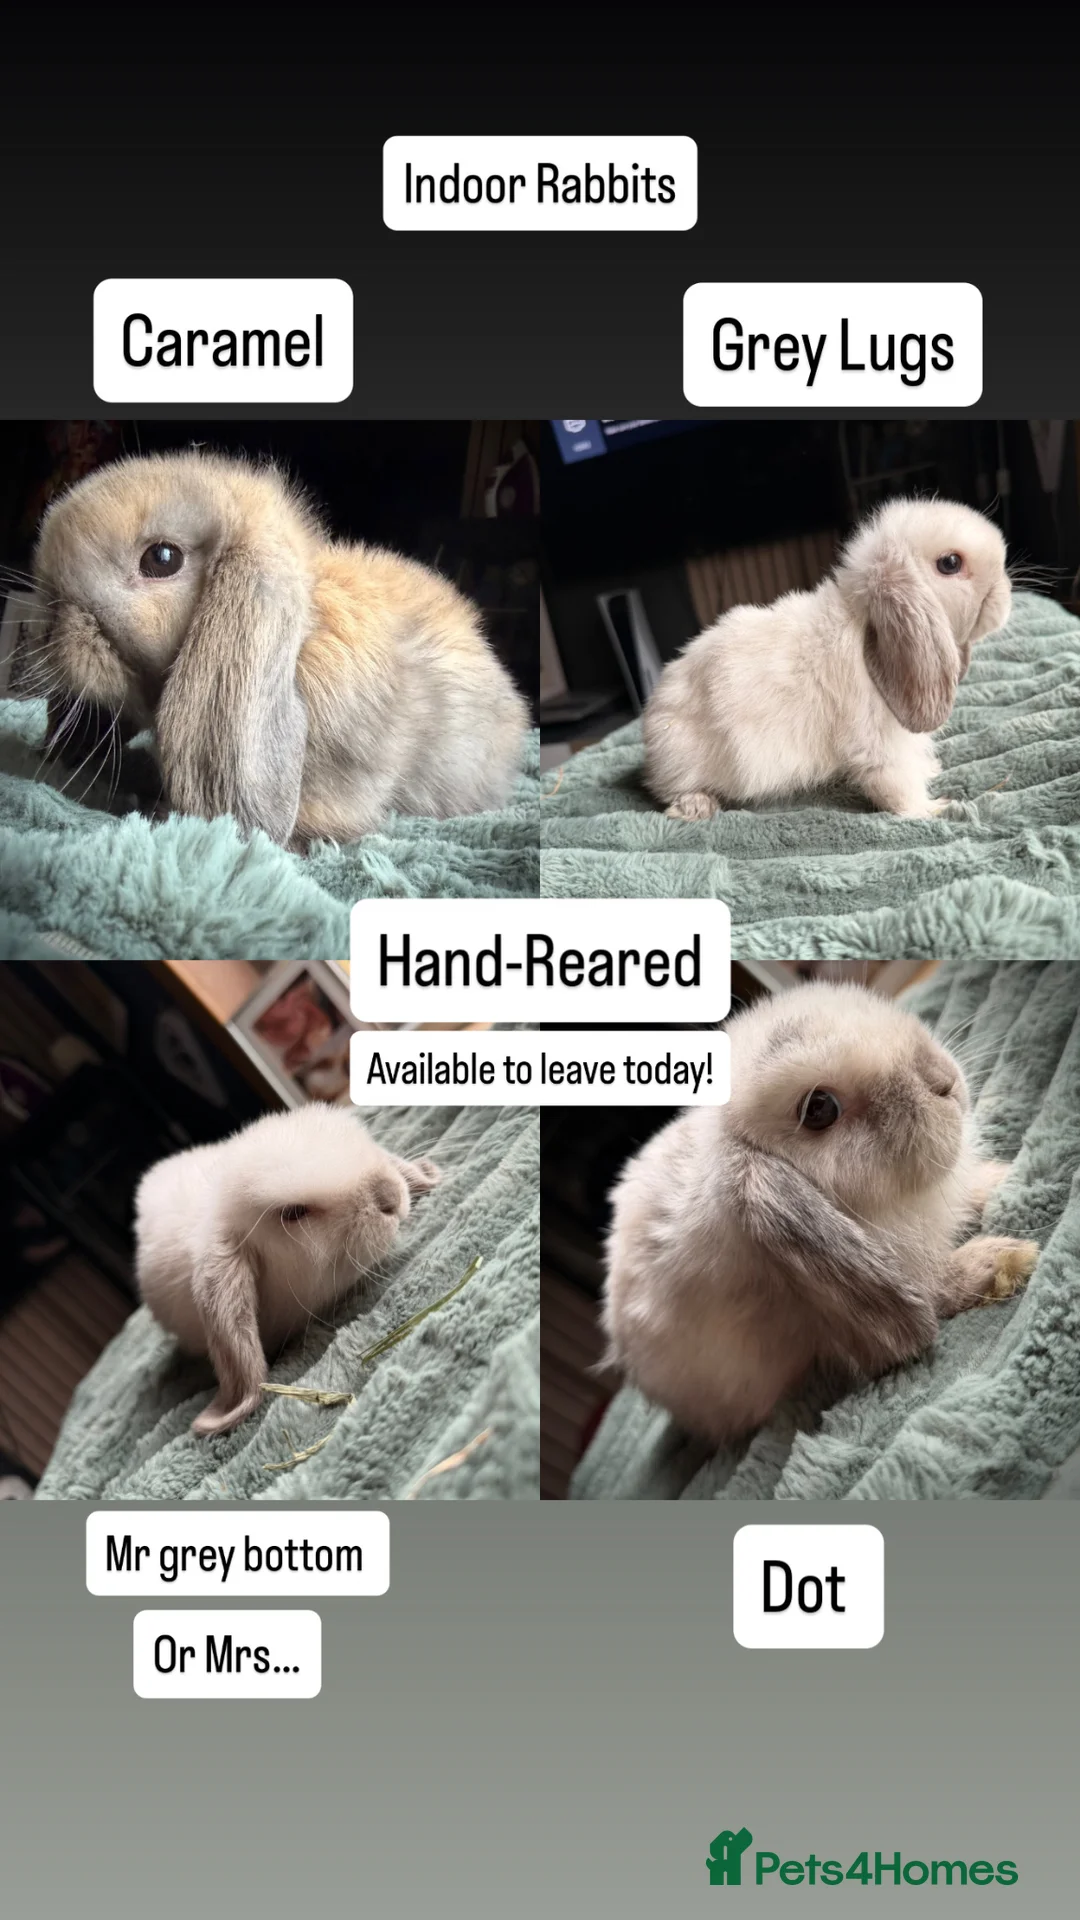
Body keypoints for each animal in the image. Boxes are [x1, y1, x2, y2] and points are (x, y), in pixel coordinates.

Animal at [643, 497, 1011, 822]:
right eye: (950, 563)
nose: (1006, 593)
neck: (863, 625)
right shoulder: (877, 748)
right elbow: (897, 788)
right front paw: (934, 809)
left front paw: (931, 769)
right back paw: (696, 806)